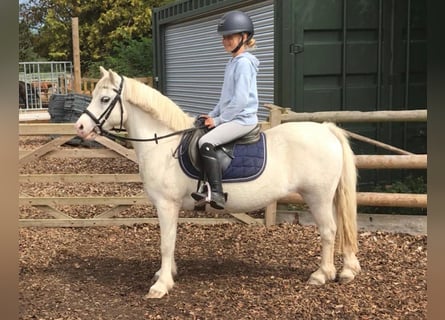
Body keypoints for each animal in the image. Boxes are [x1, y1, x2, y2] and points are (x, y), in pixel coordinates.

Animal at [75, 67, 360, 300]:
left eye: (104, 99)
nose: (79, 127)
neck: (164, 144)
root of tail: (326, 129)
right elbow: (171, 240)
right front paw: (166, 274)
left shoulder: (166, 205)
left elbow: (166, 242)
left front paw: (161, 285)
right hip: (329, 197)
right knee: (340, 228)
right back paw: (345, 270)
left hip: (317, 197)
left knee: (328, 231)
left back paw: (321, 274)